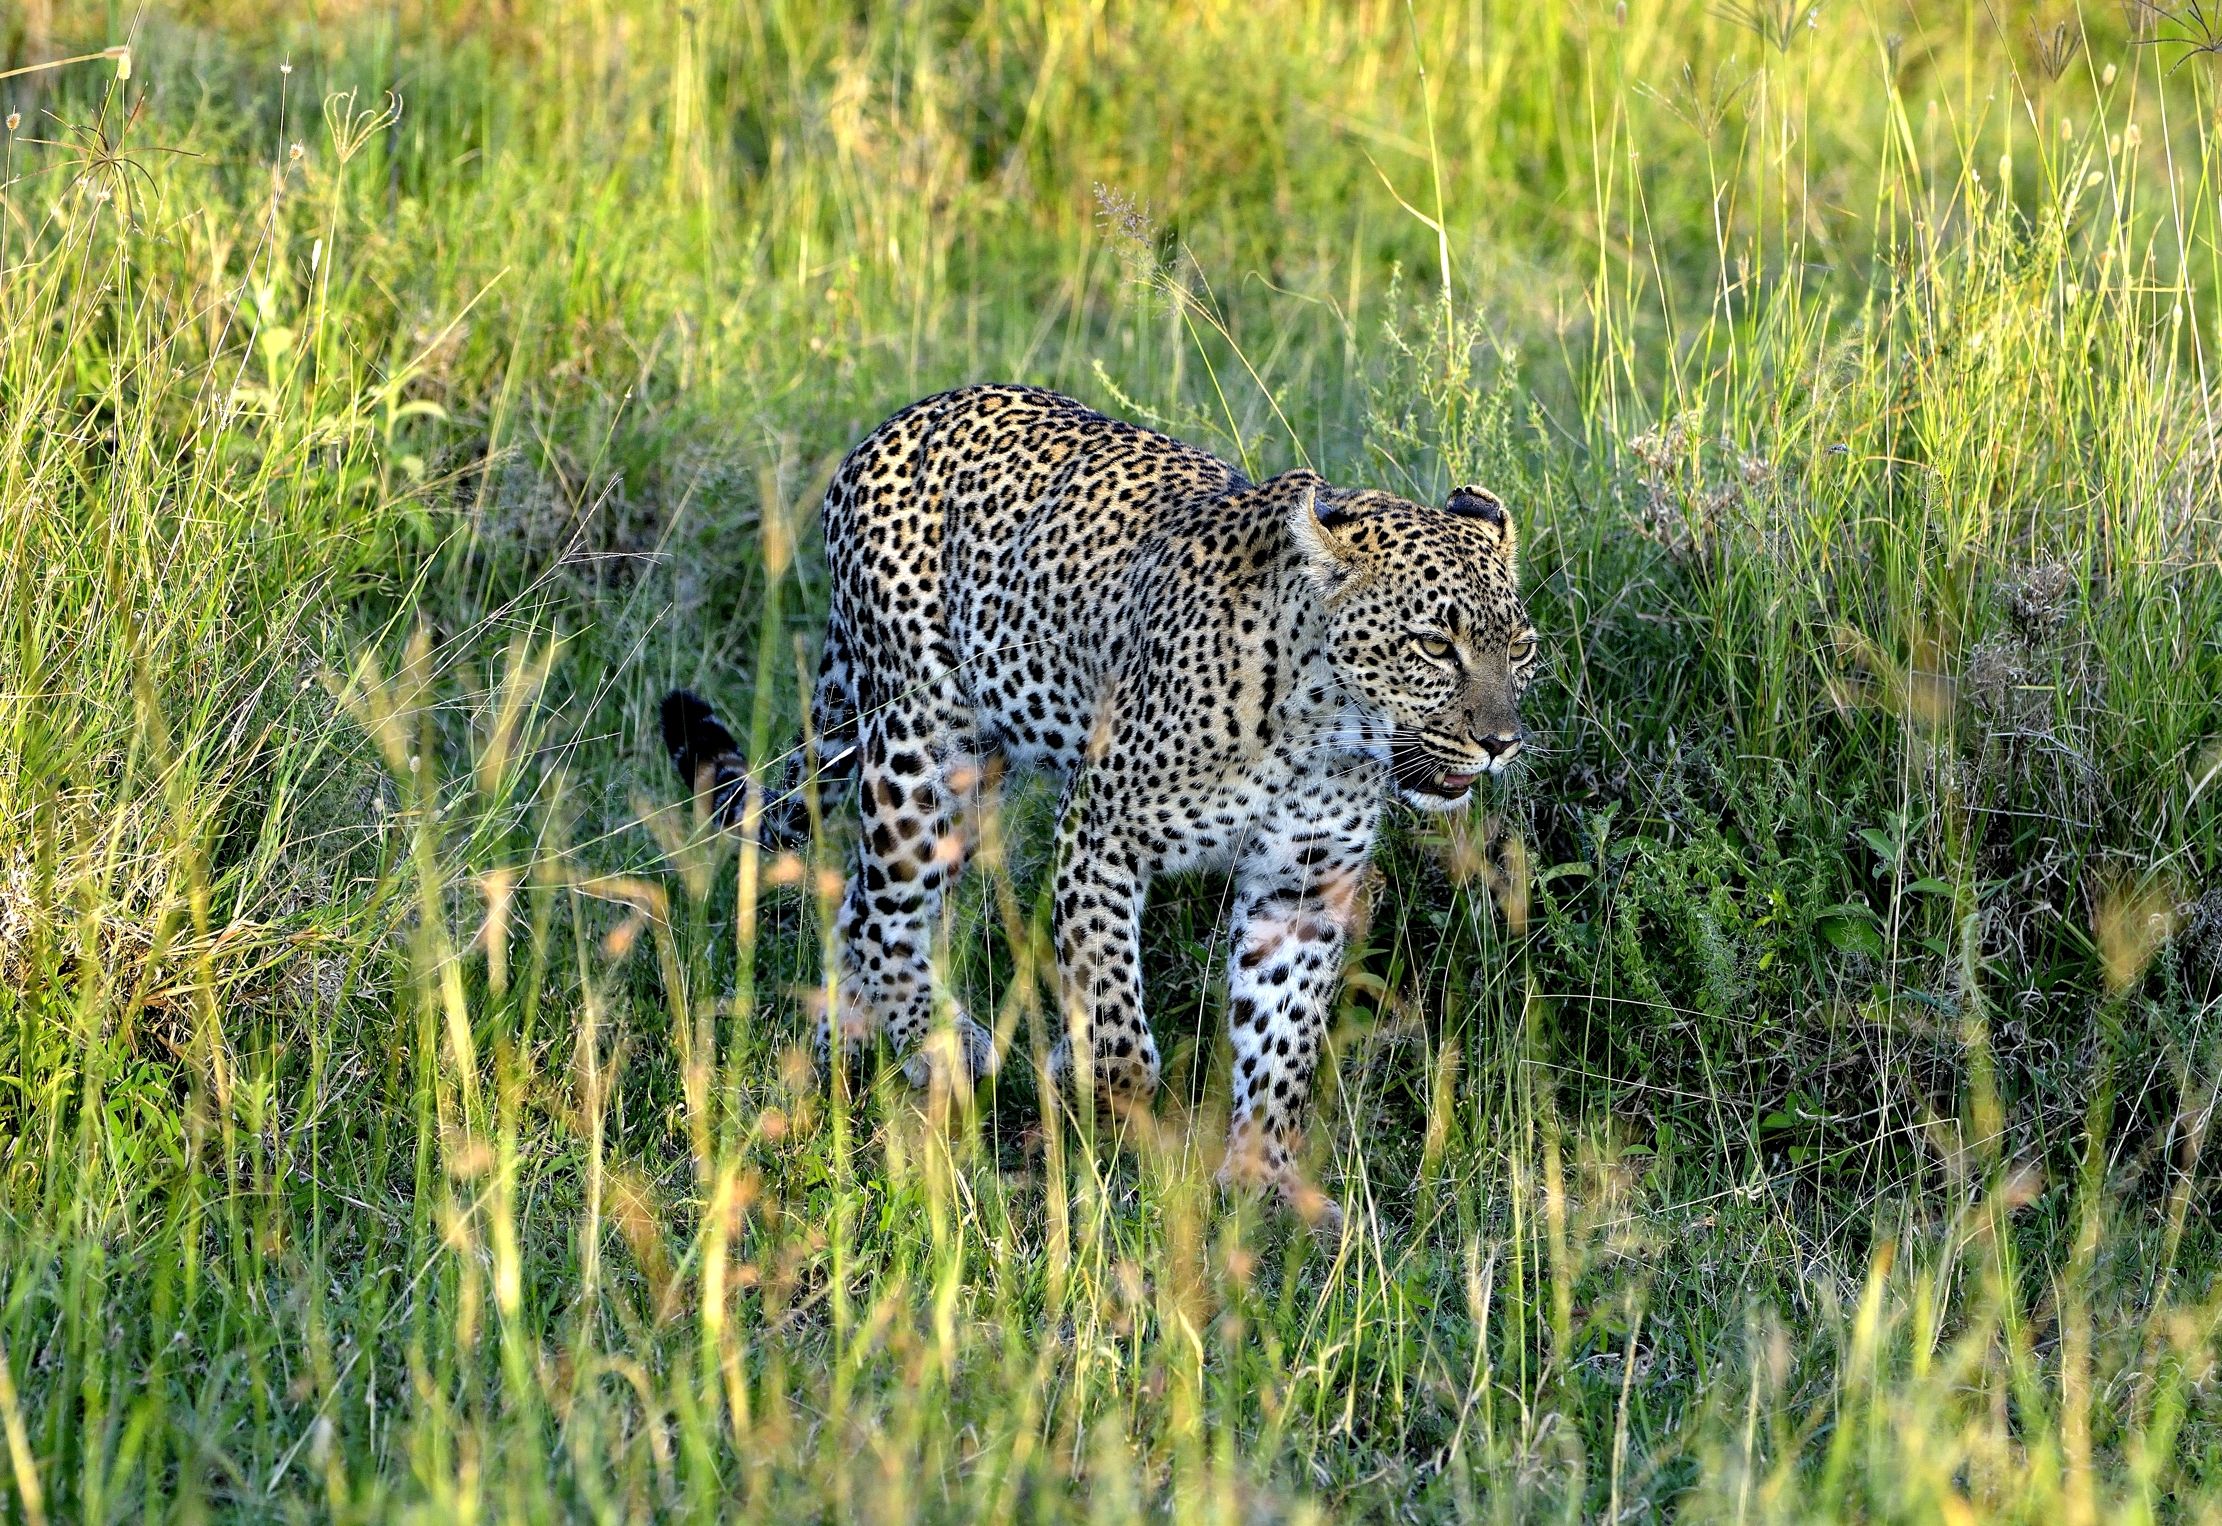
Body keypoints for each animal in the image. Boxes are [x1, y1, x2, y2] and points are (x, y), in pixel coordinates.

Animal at [663, 383, 1538, 1228]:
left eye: (1521, 649)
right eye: (1435, 646)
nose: (1501, 742)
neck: (1321, 730)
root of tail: (895, 422)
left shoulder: (1302, 891)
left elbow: (1281, 1042)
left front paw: (1265, 1181)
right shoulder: (1100, 832)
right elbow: (1112, 1011)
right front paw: (1093, 1086)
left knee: (865, 906)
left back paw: (847, 1044)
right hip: (925, 747)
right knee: (885, 910)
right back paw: (935, 1039)